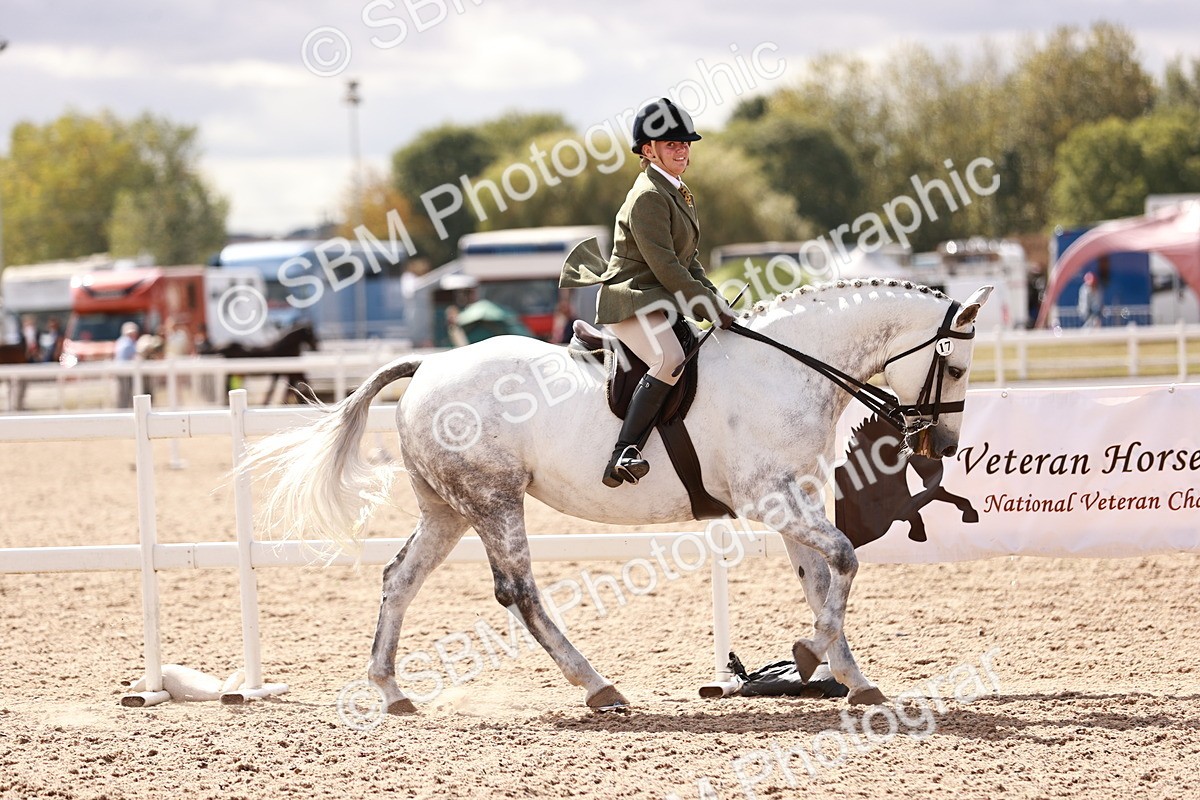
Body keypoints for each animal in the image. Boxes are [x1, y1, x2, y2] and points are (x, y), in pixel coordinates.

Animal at [241, 279, 992, 714]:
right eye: (955, 366)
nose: (942, 446)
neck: (785, 367)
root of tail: (426, 365)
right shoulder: (768, 499)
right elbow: (844, 559)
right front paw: (811, 657)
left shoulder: (792, 498)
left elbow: (819, 576)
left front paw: (848, 677)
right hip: (493, 499)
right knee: (520, 592)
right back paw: (598, 687)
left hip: (447, 508)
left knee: (400, 578)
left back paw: (391, 690)